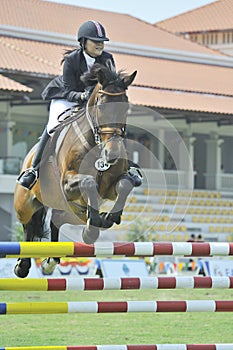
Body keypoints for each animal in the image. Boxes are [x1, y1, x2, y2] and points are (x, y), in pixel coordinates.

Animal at [13, 61, 138, 278]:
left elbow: (125, 184)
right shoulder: (67, 183)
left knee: (56, 220)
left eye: (125, 108)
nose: (112, 154)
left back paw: (51, 261)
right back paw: (22, 266)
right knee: (28, 225)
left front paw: (108, 218)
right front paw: (92, 228)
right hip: (24, 204)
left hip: (67, 210)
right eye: (101, 107)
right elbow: (88, 182)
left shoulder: (110, 187)